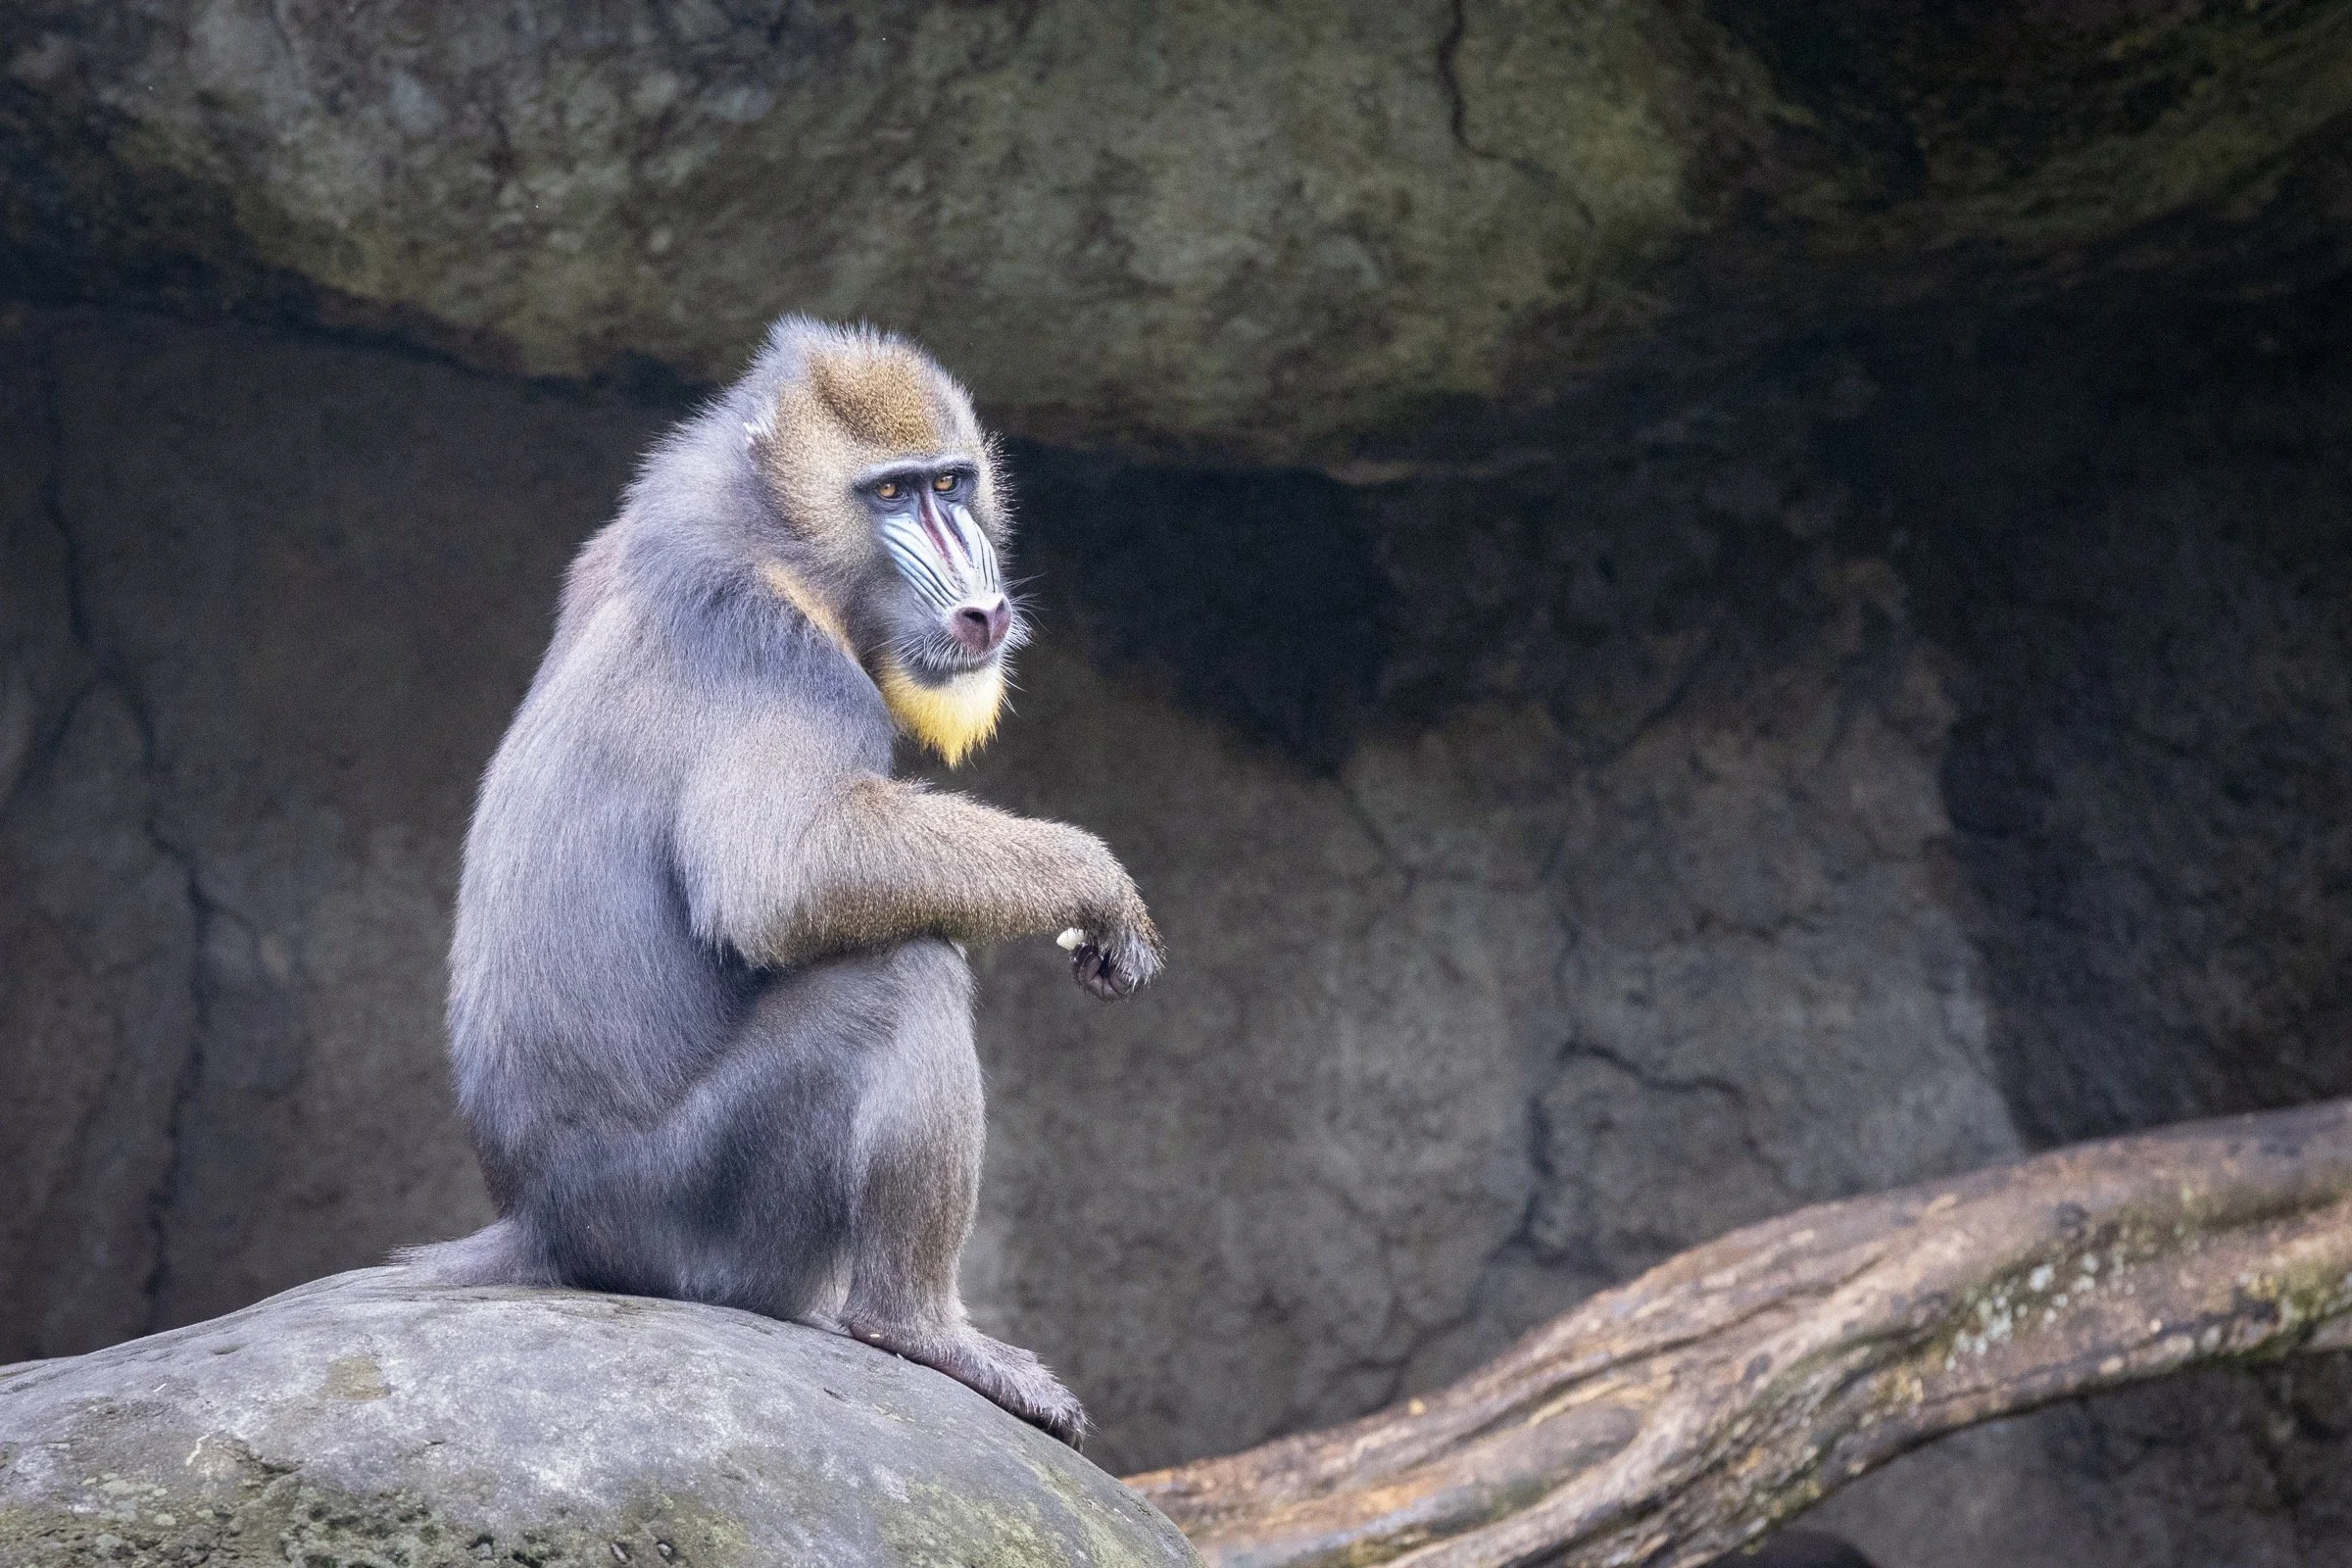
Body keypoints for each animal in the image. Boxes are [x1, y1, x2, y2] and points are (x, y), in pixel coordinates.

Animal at [398, 316, 1163, 1446]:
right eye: (891, 495)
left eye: (951, 482)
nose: (982, 608)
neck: (774, 534)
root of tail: (544, 1224)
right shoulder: (771, 649)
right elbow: (787, 870)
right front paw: (1093, 882)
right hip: (709, 1205)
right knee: (903, 974)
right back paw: (918, 1329)